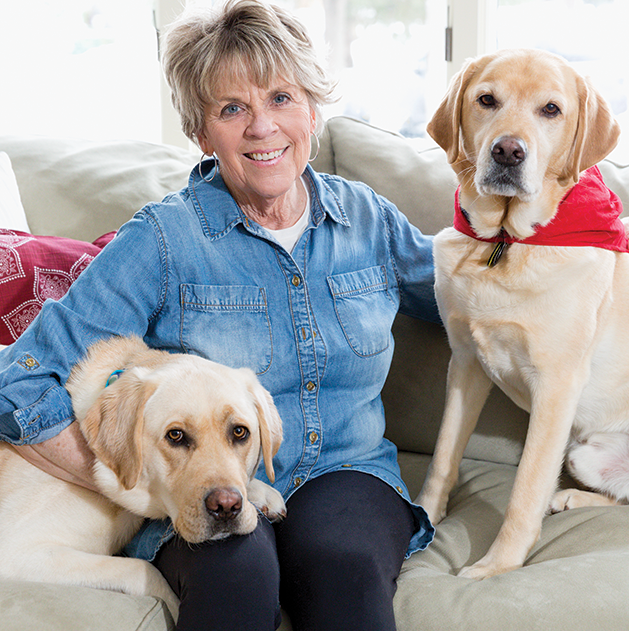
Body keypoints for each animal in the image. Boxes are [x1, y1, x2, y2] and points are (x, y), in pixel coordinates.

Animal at [0, 338, 282, 620]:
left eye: (239, 432)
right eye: (175, 436)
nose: (226, 507)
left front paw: (263, 492)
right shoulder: (20, 553)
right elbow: (141, 569)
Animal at [418, 48, 624, 584]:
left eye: (551, 110)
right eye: (487, 100)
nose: (508, 152)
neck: (506, 243)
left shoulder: (556, 386)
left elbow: (525, 489)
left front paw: (497, 567)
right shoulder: (465, 365)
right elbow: (443, 455)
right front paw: (424, 515)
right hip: (585, 453)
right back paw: (573, 498)